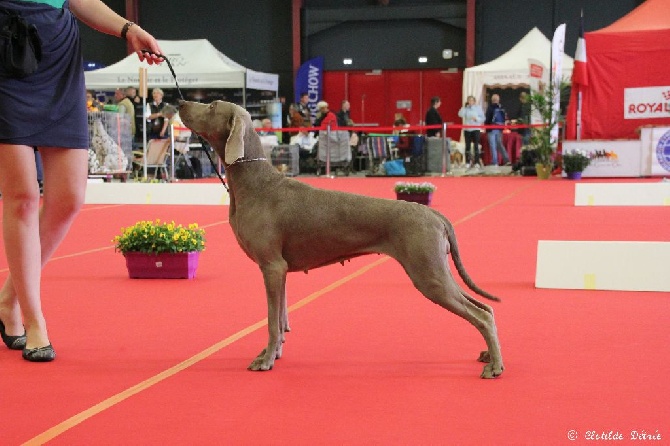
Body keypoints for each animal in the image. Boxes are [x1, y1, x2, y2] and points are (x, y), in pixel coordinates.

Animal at [178, 99, 504, 378]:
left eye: (211, 106)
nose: (179, 102)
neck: (255, 183)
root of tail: (435, 214)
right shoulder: (280, 271)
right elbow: (281, 319)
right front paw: (273, 353)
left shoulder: (271, 266)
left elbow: (271, 321)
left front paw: (266, 361)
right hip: (437, 271)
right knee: (486, 308)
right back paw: (489, 355)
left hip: (429, 275)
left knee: (482, 314)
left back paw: (495, 367)